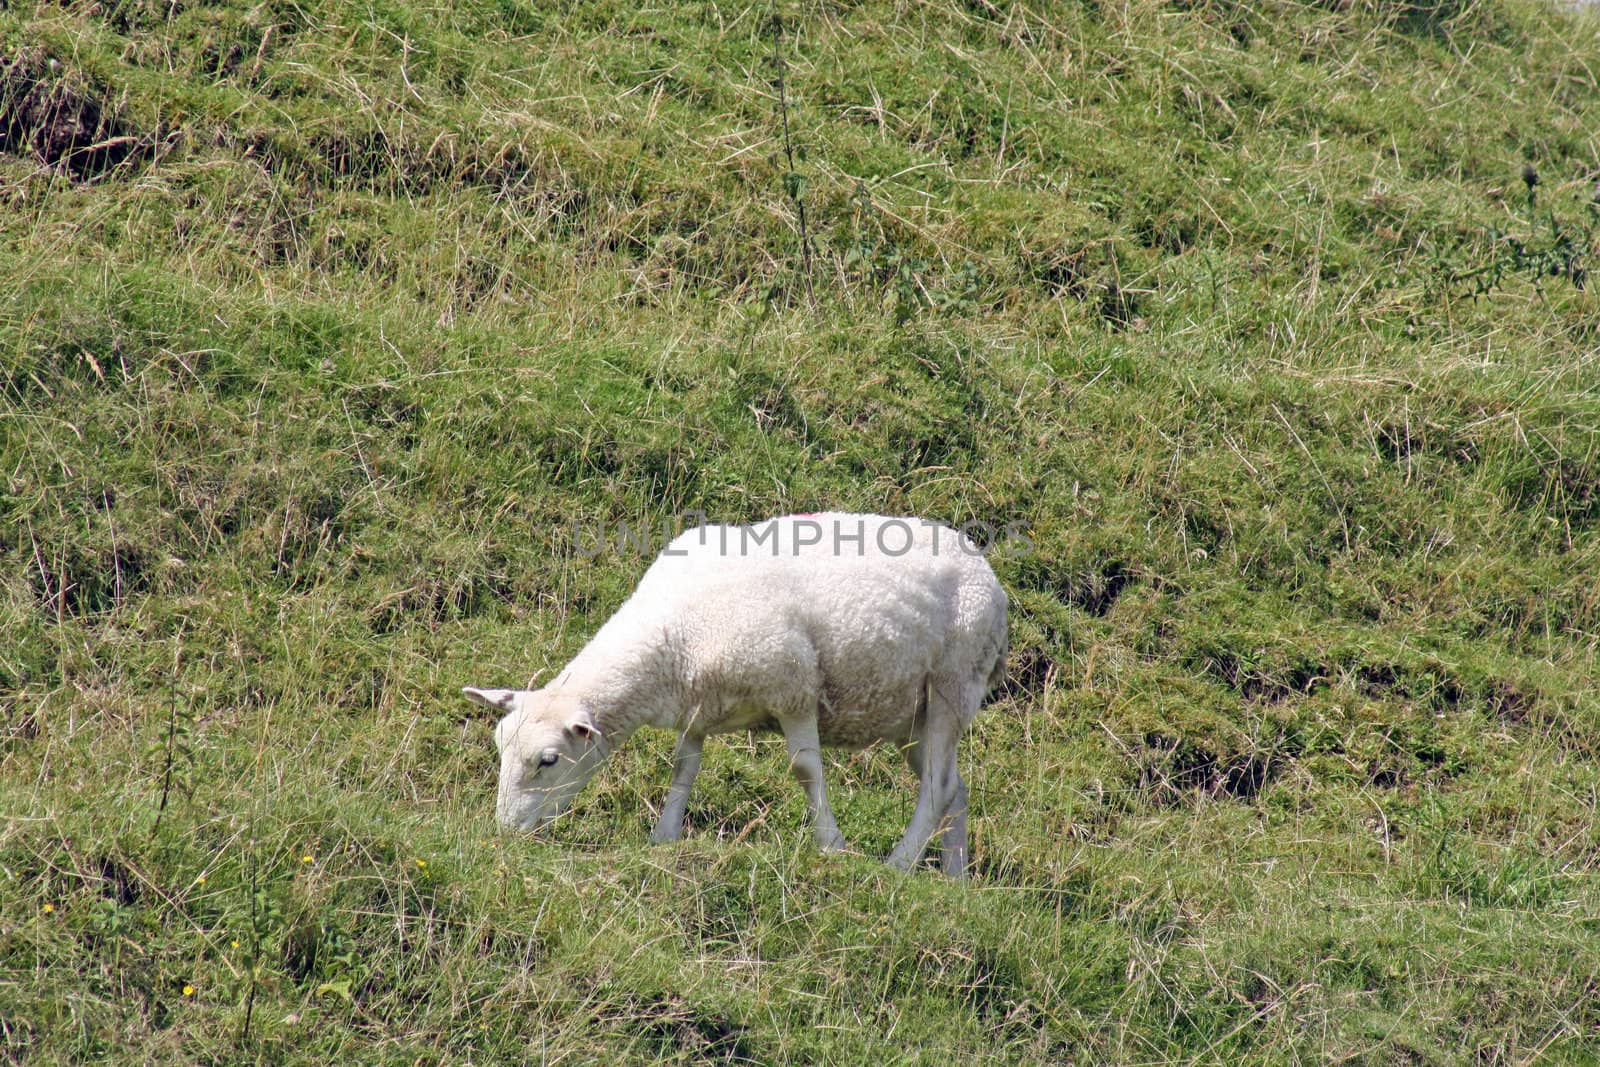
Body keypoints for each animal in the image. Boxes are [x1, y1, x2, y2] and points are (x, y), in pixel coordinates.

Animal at [464, 511, 1004, 876]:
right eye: (499, 747)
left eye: (548, 760)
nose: (505, 833)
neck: (674, 633)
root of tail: (988, 575)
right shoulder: (699, 703)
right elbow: (683, 767)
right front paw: (664, 836)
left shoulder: (794, 688)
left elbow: (805, 770)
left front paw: (830, 844)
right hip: (911, 714)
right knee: (954, 785)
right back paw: (953, 880)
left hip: (955, 681)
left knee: (936, 787)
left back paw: (899, 864)